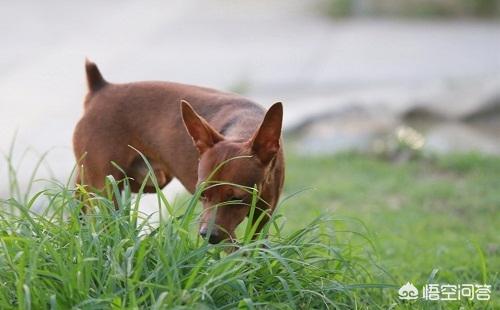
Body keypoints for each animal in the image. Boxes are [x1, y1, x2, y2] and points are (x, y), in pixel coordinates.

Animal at [73, 60, 286, 243]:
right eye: (201, 194)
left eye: (237, 198)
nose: (207, 235)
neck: (243, 128)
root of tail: (101, 88)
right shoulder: (221, 226)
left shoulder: (263, 216)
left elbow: (256, 246)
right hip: (106, 188)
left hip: (137, 181)